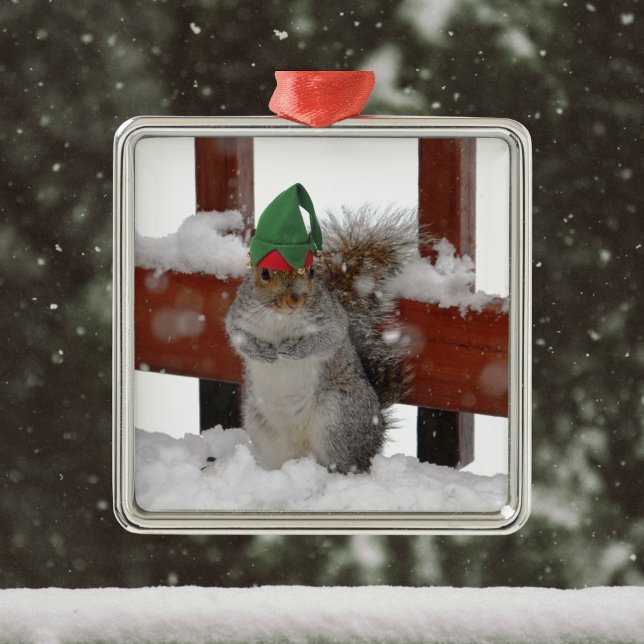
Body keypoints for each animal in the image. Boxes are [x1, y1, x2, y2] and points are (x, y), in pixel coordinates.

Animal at [225, 185, 418, 474]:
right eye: (265, 273)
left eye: (312, 272)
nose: (294, 301)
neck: (280, 318)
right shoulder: (239, 316)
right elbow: (238, 337)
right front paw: (262, 352)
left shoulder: (331, 319)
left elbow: (328, 338)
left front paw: (292, 350)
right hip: (259, 425)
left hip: (337, 416)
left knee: (350, 462)